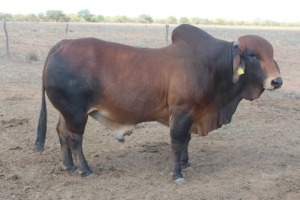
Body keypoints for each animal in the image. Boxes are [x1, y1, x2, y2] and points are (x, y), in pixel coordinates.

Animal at [34, 23, 282, 184]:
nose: (277, 81)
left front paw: (185, 163)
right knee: (75, 138)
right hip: (76, 112)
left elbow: (186, 140)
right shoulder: (181, 112)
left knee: (61, 132)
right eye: (253, 55)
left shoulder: (191, 113)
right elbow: (177, 142)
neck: (212, 65)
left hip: (66, 112)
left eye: (271, 53)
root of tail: (63, 44)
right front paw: (177, 174)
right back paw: (85, 170)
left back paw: (69, 166)